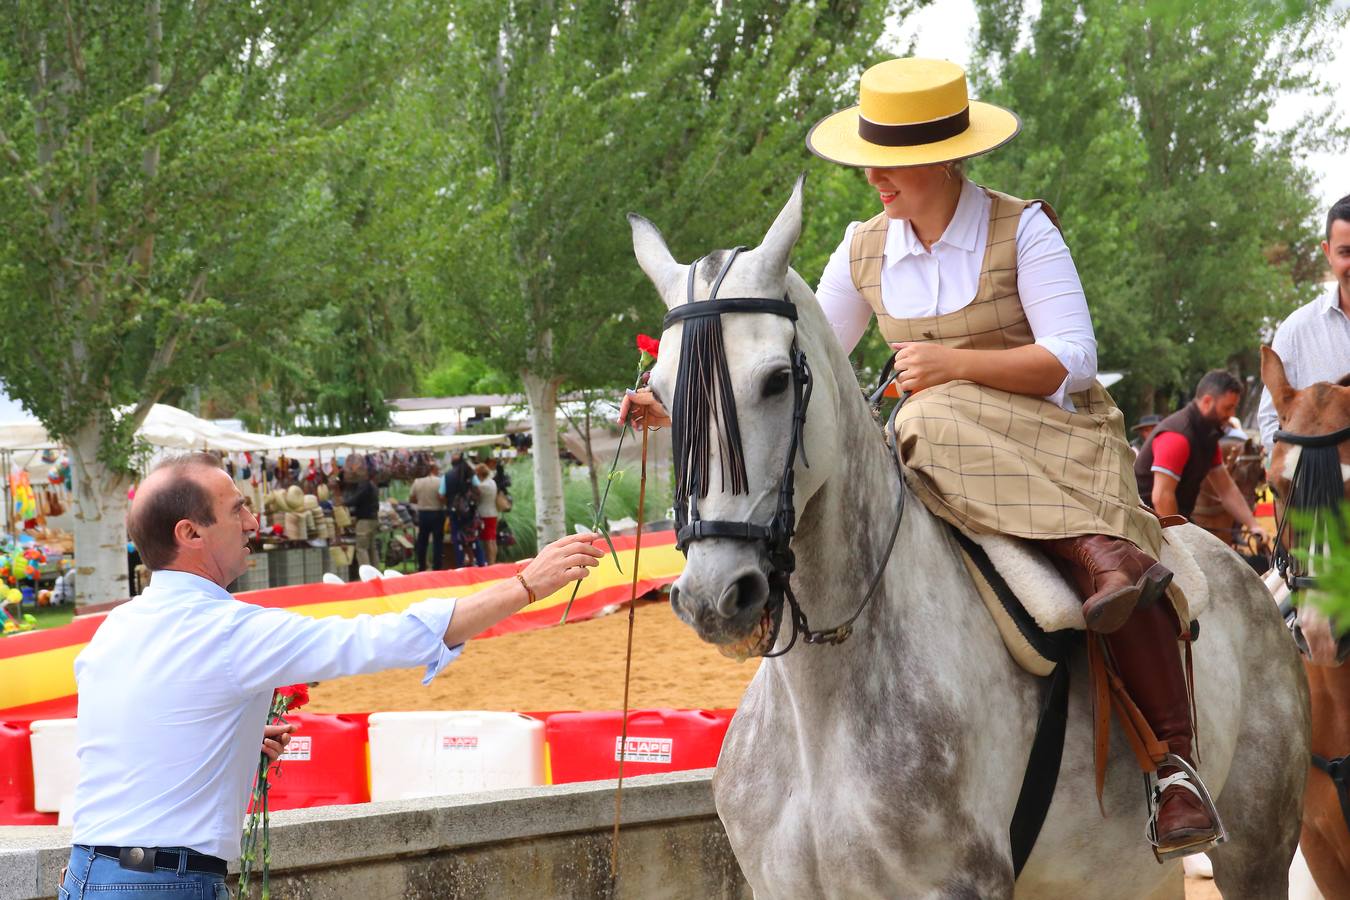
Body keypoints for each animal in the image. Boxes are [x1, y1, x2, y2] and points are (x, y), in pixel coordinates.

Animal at [629, 183, 1306, 900]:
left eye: (778, 379)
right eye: (660, 393)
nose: (715, 597)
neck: (823, 708)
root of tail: (1245, 574)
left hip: (1258, 852)